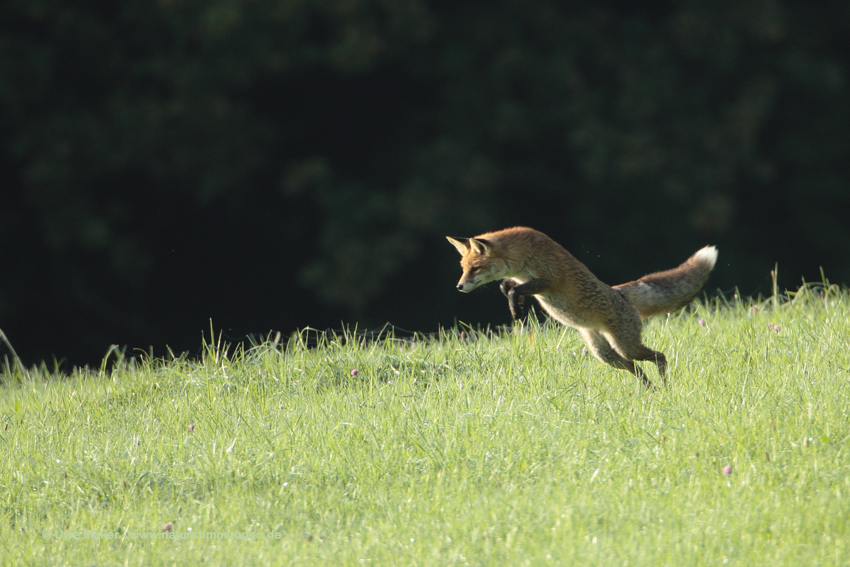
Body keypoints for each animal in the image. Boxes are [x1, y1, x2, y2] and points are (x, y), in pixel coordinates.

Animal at [444, 229, 716, 388]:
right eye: (463, 267)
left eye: (475, 268)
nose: (458, 286)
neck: (524, 255)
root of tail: (619, 292)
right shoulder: (523, 280)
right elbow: (506, 286)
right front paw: (515, 305)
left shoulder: (548, 280)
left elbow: (513, 289)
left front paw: (516, 310)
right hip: (604, 354)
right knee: (637, 369)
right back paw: (650, 391)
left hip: (625, 347)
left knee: (660, 357)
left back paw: (665, 387)